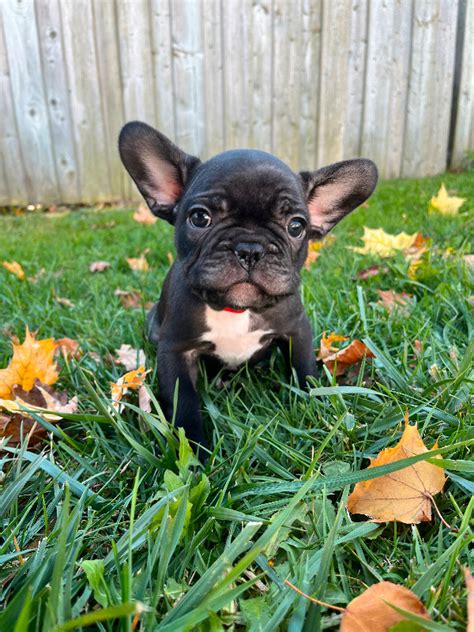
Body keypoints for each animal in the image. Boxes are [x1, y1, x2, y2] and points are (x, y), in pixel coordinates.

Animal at [118, 122, 378, 460]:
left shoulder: (297, 330)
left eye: (296, 226)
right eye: (199, 217)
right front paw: (196, 450)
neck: (235, 309)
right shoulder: (175, 349)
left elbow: (305, 368)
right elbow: (184, 400)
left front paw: (320, 406)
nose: (250, 248)